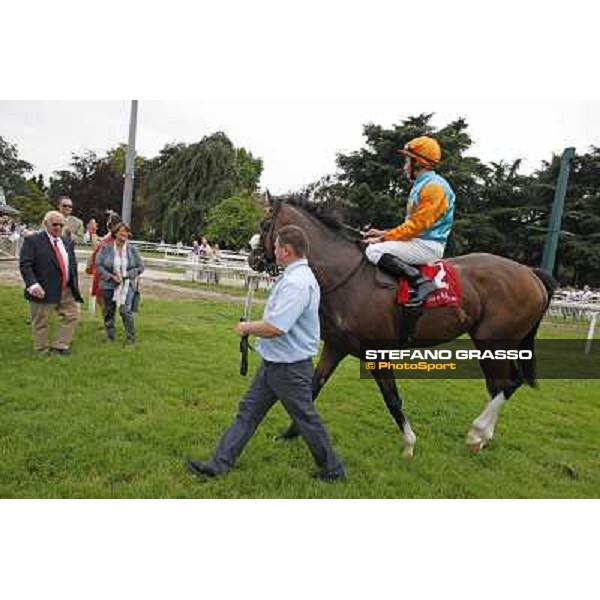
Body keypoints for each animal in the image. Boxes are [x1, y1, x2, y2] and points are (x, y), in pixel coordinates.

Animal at [248, 195, 556, 458]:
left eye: (264, 224)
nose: (252, 257)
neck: (347, 277)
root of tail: (530, 272)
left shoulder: (377, 354)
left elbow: (392, 398)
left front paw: (408, 444)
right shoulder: (336, 346)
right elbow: (312, 389)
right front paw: (289, 434)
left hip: (492, 342)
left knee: (507, 382)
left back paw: (477, 433)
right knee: (502, 384)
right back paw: (482, 438)